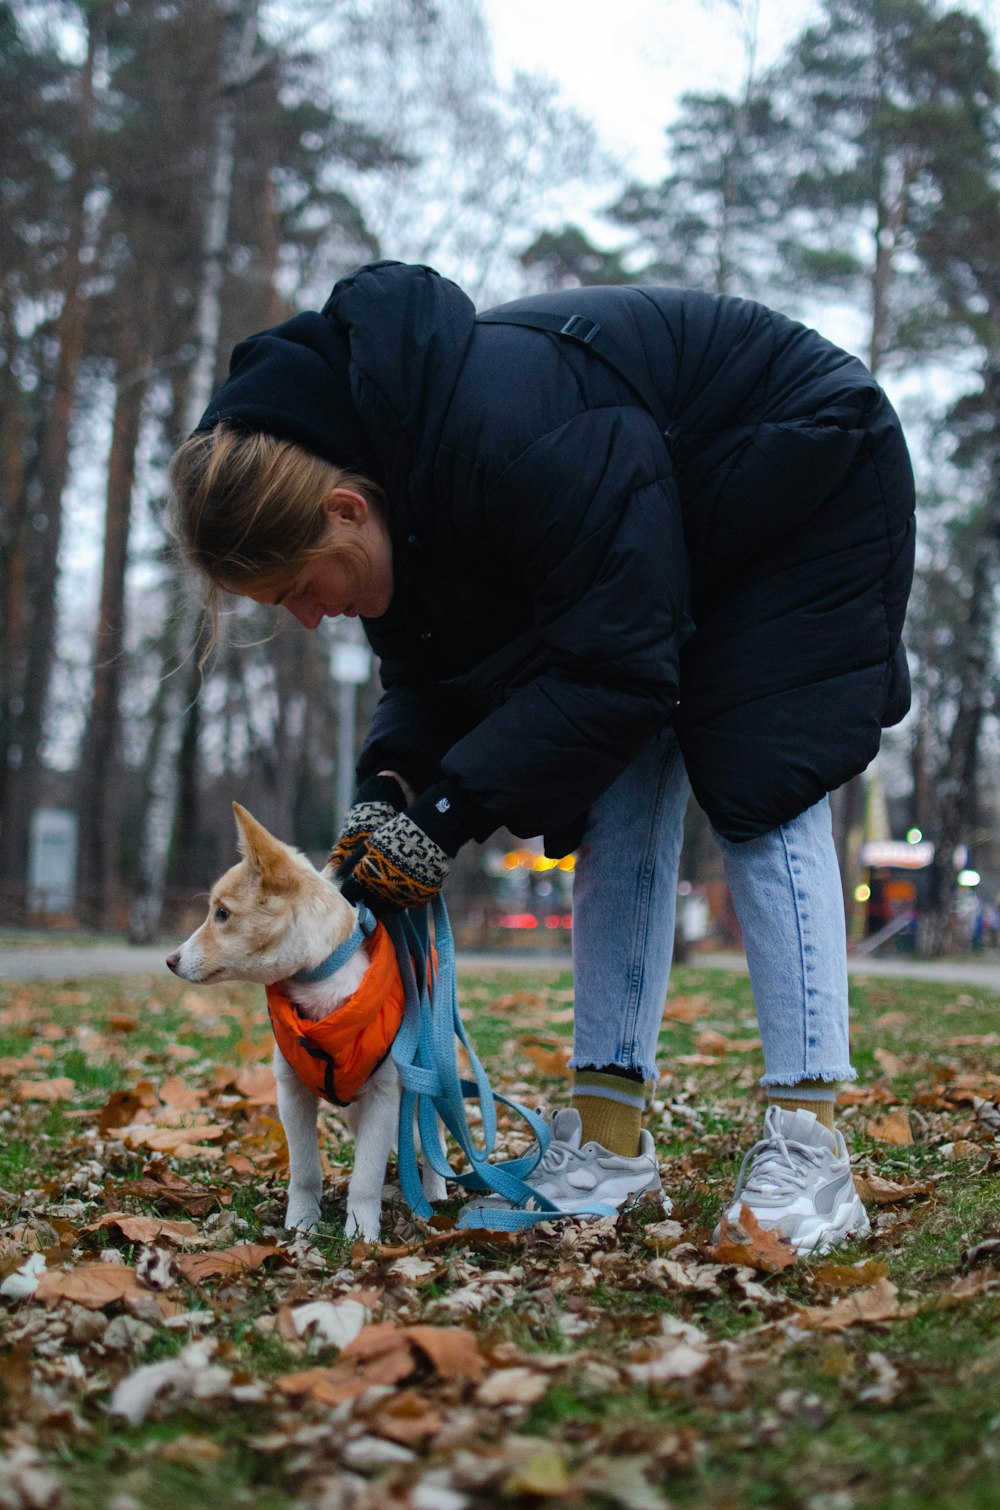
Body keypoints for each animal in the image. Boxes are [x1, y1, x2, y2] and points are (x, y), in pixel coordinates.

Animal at [166, 803, 447, 1238]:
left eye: (223, 913)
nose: (171, 960)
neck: (319, 984)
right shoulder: (292, 1093)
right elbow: (306, 1171)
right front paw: (301, 1223)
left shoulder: (384, 1096)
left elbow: (365, 1179)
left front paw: (362, 1234)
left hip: (425, 1087)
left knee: (434, 1141)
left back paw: (433, 1194)